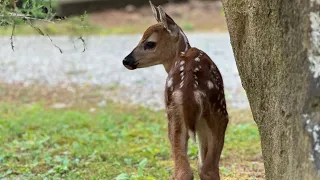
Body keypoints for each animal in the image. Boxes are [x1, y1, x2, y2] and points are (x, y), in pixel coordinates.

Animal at [121, 1, 229, 179]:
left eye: (149, 43)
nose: (126, 60)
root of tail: (189, 88)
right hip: (217, 111)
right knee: (205, 168)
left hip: (177, 113)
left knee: (187, 170)